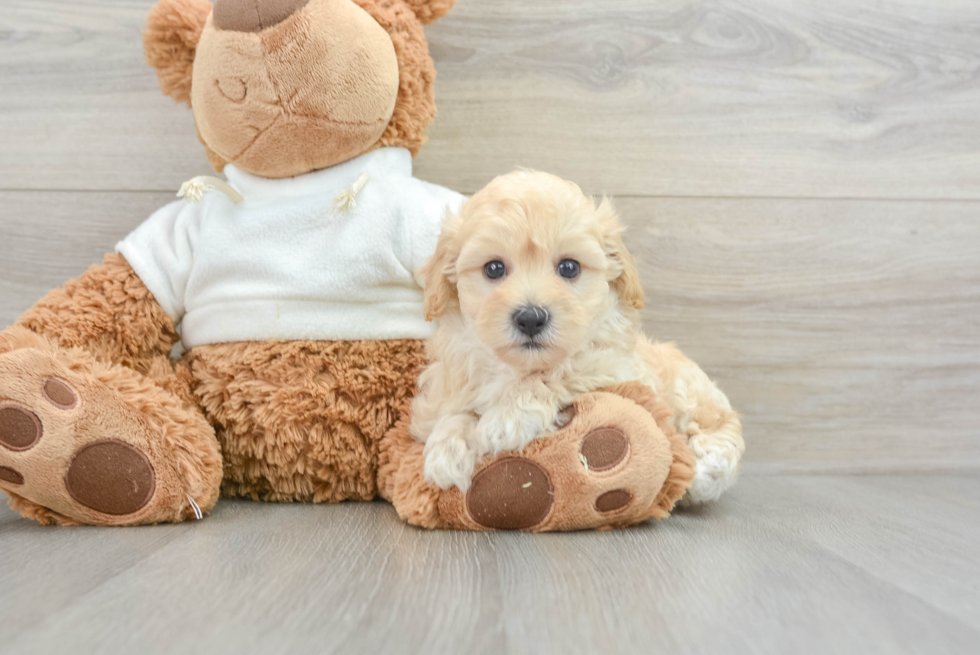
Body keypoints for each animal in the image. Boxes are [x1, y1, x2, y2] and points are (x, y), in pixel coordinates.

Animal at [414, 170, 744, 502]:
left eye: (569, 267)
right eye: (493, 268)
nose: (531, 318)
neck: (517, 368)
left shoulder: (618, 369)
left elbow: (560, 373)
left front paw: (507, 418)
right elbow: (454, 410)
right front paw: (448, 448)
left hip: (690, 393)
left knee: (715, 423)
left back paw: (706, 468)